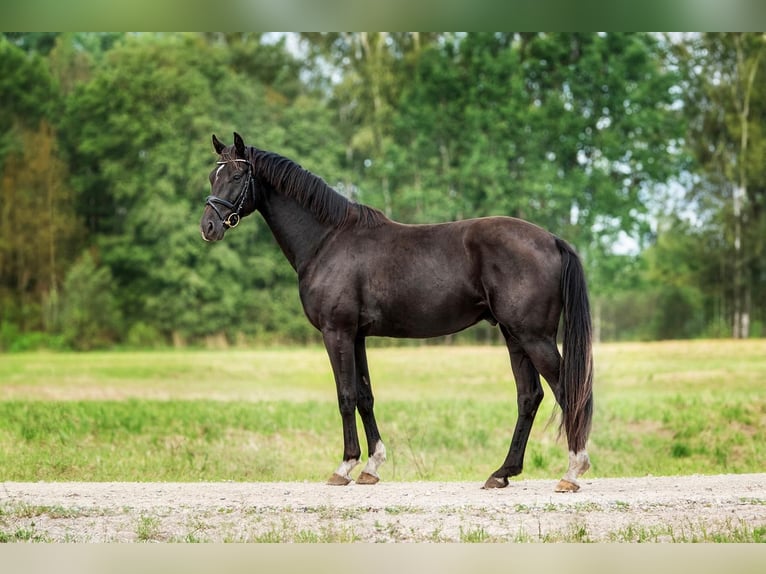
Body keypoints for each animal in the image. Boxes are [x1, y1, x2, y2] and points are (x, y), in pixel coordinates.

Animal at [200, 132, 593, 492]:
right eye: (212, 175)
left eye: (237, 175)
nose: (208, 227)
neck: (328, 240)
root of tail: (551, 239)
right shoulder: (356, 335)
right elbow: (364, 397)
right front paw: (372, 466)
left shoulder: (336, 332)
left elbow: (345, 396)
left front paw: (344, 466)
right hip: (514, 336)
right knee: (529, 397)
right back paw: (502, 472)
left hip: (534, 337)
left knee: (567, 390)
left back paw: (572, 471)